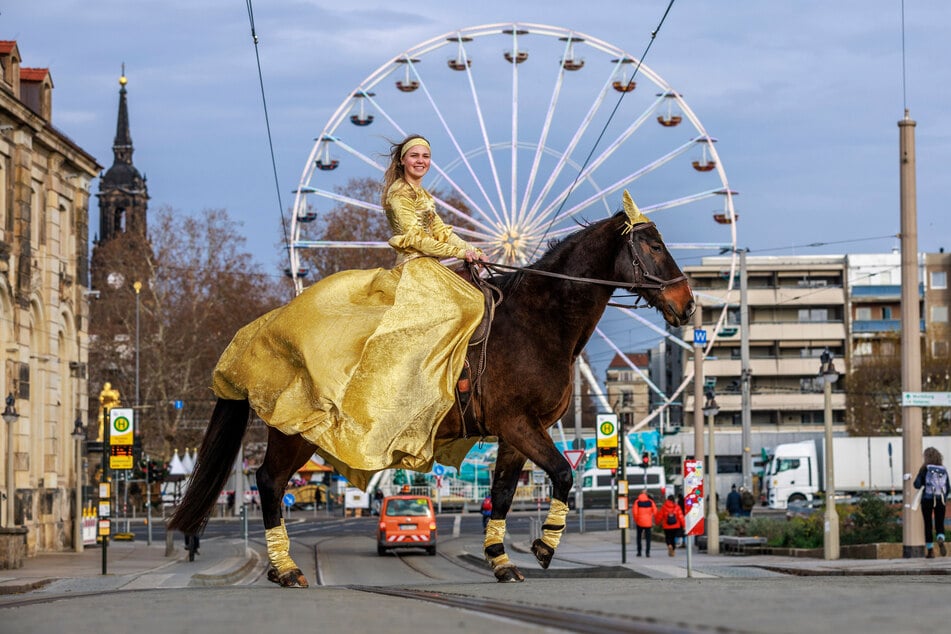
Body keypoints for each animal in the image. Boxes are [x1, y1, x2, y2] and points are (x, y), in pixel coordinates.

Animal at [169, 206, 692, 584]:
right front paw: (544, 546)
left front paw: (501, 560)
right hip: (295, 430)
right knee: (269, 482)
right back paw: (285, 569)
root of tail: (259, 331)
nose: (687, 304)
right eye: (653, 245)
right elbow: (563, 474)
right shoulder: (520, 424)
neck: (538, 323)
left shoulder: (518, 431)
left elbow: (503, 494)